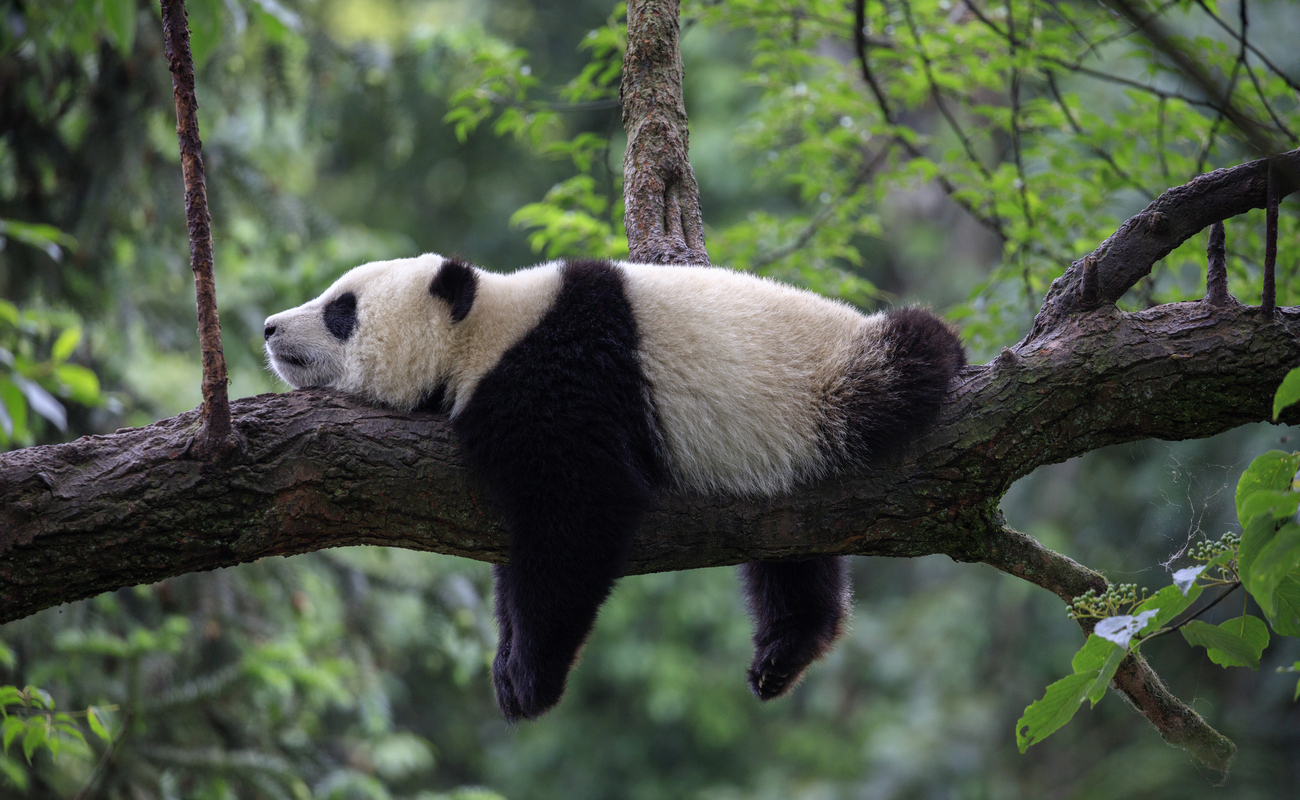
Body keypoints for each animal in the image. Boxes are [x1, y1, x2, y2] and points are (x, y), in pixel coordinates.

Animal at [263, 253, 967, 723]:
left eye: (341, 310)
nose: (269, 327)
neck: (487, 329)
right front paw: (507, 660)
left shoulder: (564, 379)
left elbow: (579, 516)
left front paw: (529, 678)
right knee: (791, 553)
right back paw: (785, 649)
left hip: (829, 385)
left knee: (907, 357)